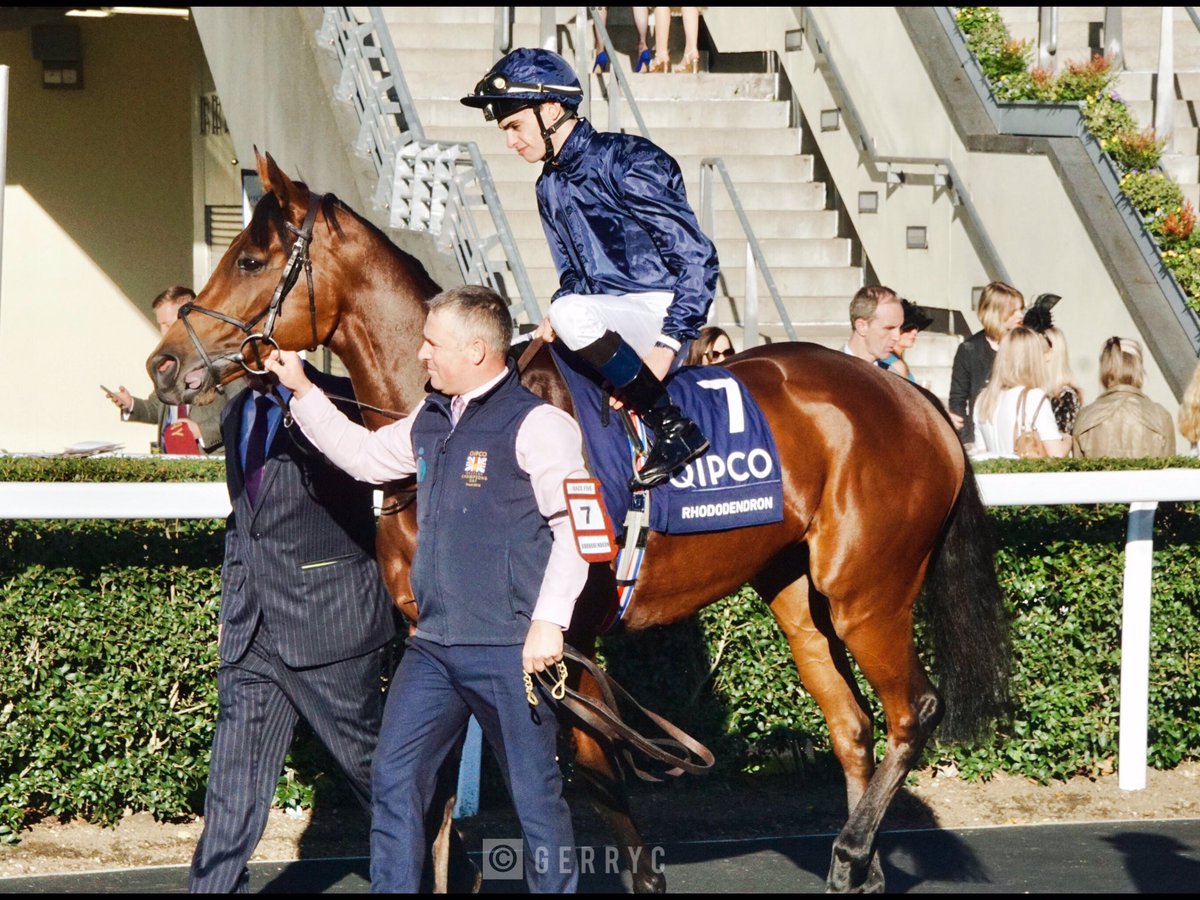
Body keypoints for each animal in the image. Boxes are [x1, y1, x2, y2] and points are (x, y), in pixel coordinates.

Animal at [152, 154, 1012, 897]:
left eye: (252, 260)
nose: (164, 363)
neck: (446, 428)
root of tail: (915, 400)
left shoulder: (559, 640)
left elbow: (591, 783)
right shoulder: (456, 641)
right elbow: (443, 793)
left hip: (867, 590)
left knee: (912, 712)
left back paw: (850, 853)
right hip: (798, 595)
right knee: (854, 728)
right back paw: (860, 867)